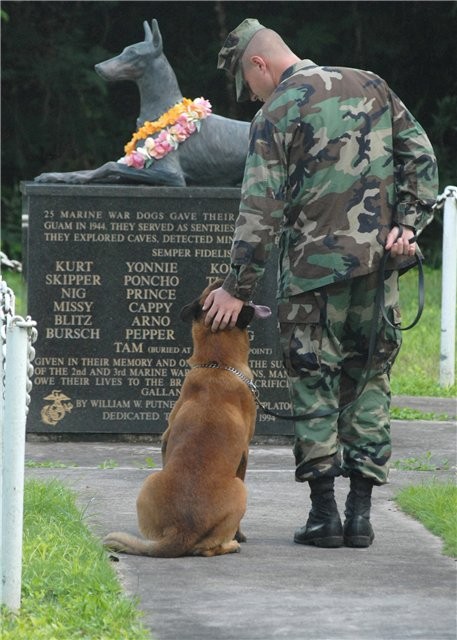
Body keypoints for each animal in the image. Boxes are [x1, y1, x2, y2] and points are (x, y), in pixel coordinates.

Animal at [104, 280, 260, 556]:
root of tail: (183, 530)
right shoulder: (245, 454)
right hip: (241, 491)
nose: (225, 280)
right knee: (209, 549)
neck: (217, 364)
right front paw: (240, 536)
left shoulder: (165, 440)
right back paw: (231, 544)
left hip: (149, 481)